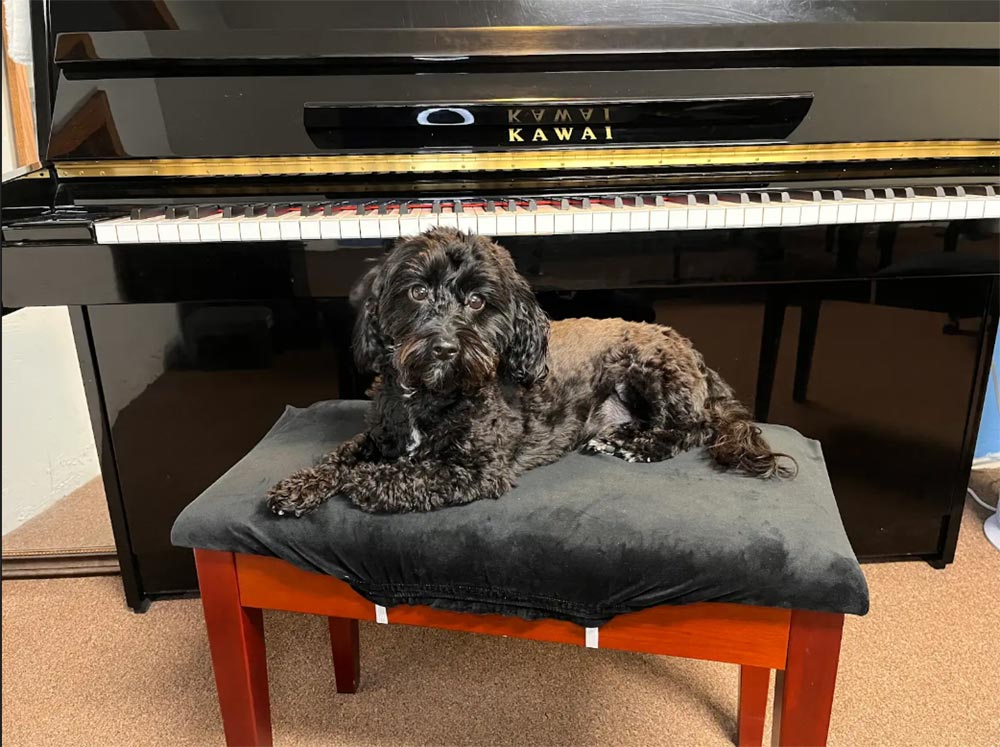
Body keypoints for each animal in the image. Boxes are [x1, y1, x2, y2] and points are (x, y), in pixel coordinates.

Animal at [267, 228, 793, 515]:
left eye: (477, 301)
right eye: (417, 292)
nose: (444, 347)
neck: (430, 397)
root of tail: (686, 345)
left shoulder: (477, 470)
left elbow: (399, 474)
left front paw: (361, 481)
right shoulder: (381, 436)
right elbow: (341, 456)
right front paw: (301, 485)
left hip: (644, 366)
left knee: (693, 427)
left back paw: (634, 445)